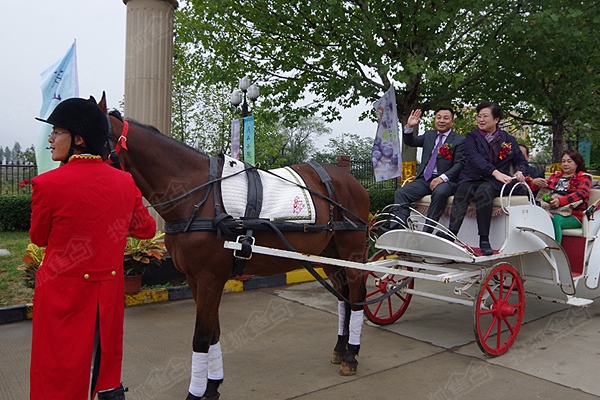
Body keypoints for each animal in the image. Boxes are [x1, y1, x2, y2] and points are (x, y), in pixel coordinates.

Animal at [98, 95, 368, 398]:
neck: (198, 196)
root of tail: (350, 180)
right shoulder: (196, 279)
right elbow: (213, 333)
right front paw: (212, 386)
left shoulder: (210, 278)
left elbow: (201, 337)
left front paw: (196, 393)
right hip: (329, 255)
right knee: (343, 297)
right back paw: (340, 348)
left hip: (352, 250)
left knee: (356, 296)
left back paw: (351, 355)